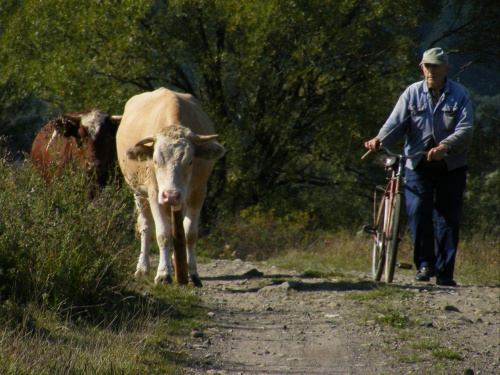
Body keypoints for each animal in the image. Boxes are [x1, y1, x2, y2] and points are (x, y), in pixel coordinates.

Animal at [115, 89, 225, 288]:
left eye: (190, 161)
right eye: (155, 160)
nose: (171, 195)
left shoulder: (198, 192)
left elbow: (189, 233)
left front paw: (192, 273)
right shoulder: (154, 193)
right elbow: (163, 233)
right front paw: (163, 273)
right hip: (139, 193)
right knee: (145, 226)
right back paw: (143, 268)